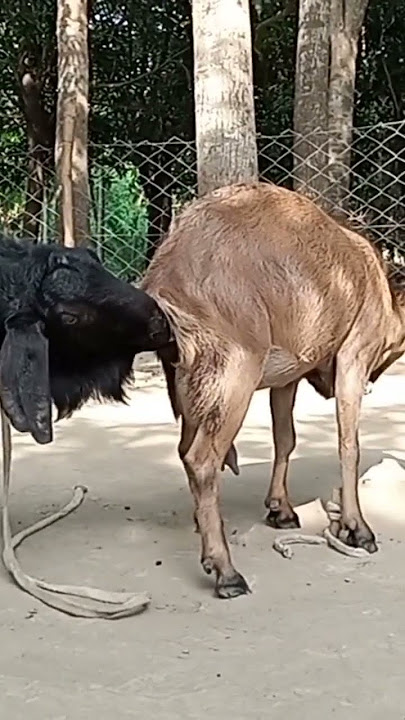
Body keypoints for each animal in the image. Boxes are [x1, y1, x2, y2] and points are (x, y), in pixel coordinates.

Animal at [142, 182, 405, 600]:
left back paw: (204, 527)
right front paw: (358, 528)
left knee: (187, 451)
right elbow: (349, 445)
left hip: (192, 386)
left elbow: (285, 439)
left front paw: (280, 509)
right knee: (201, 460)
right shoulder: (353, 357)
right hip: (235, 374)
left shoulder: (287, 378)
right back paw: (226, 570)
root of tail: (166, 277)